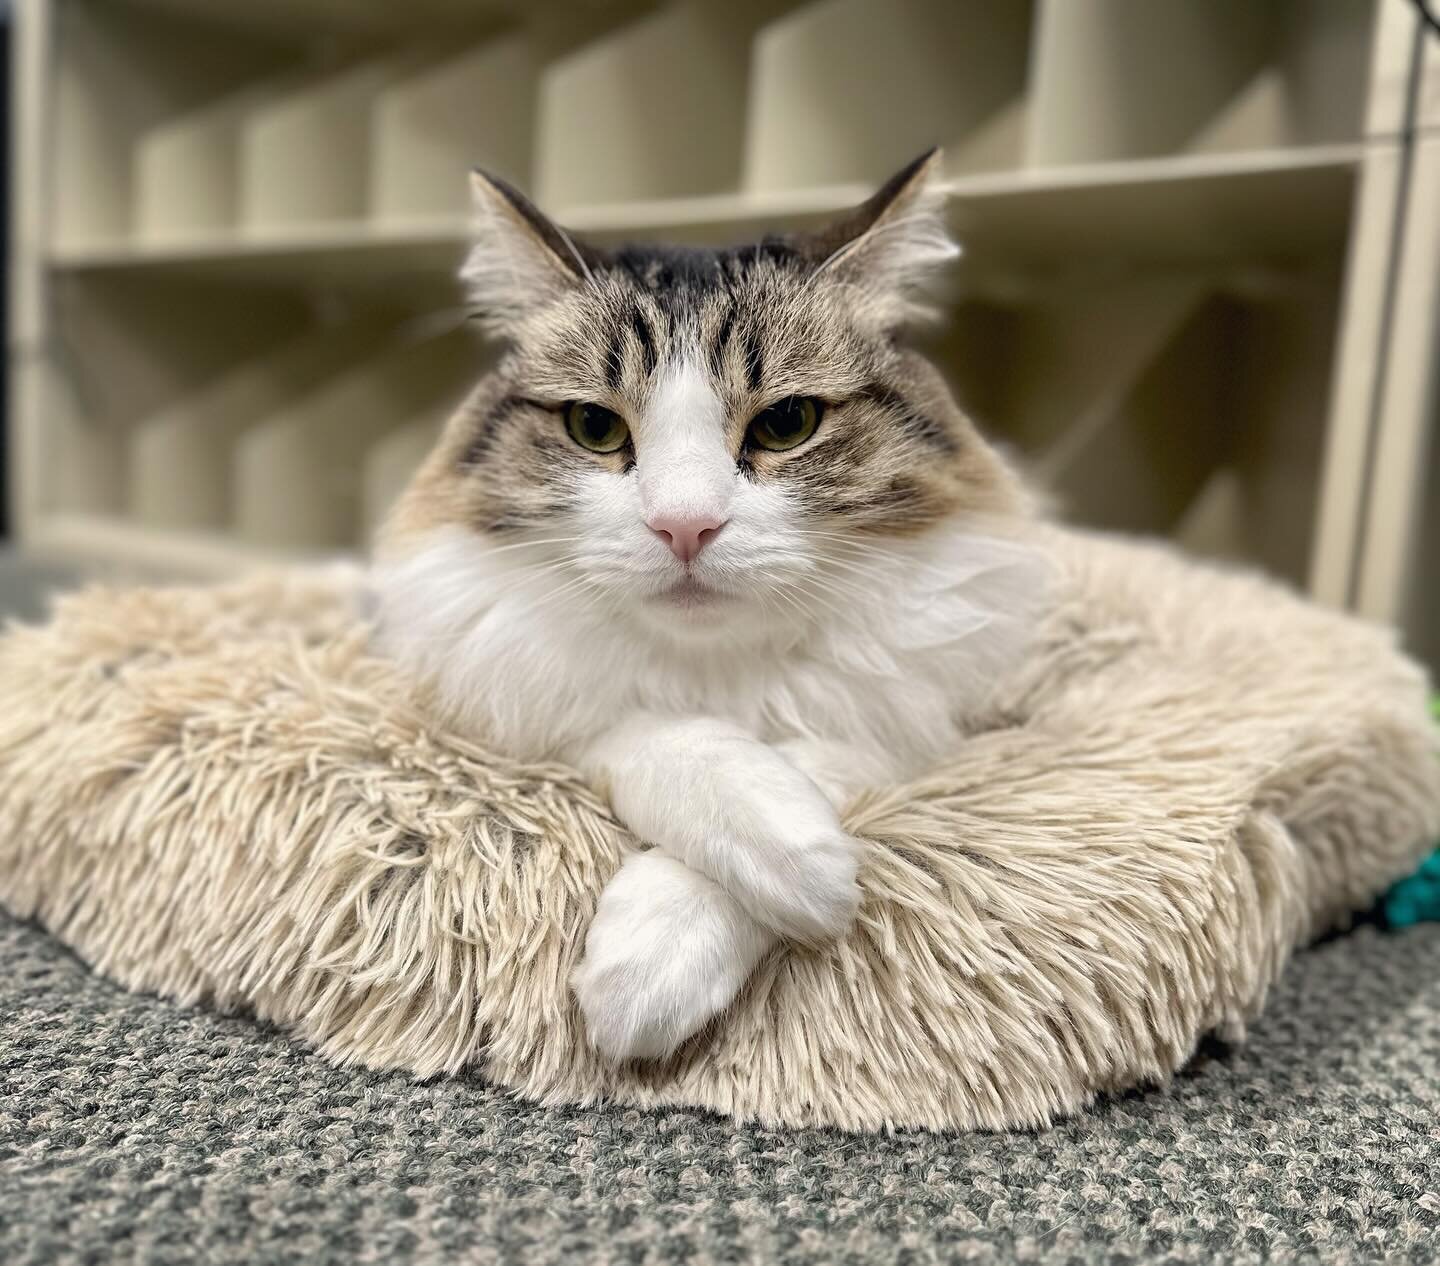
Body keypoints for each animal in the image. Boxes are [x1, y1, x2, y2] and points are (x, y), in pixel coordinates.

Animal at [368, 146, 1048, 1060]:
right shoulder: (528, 698)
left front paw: (722, 911)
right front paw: (754, 867)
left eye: (787, 423)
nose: (684, 526)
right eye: (593, 428)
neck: (716, 666)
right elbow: (664, 738)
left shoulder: (916, 724)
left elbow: (826, 758)